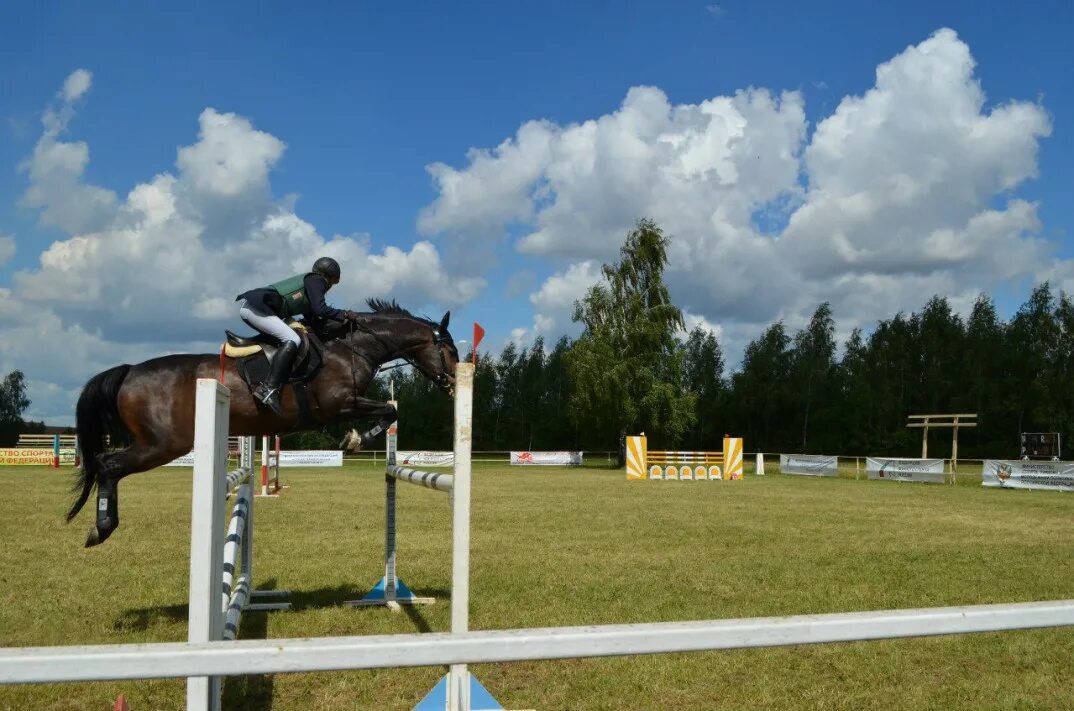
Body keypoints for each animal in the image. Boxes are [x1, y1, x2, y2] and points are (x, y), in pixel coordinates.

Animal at [68, 298, 457, 547]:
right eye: (450, 351)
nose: (456, 384)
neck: (350, 347)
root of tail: (129, 370)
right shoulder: (340, 405)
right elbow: (388, 411)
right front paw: (355, 440)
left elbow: (390, 411)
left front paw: (355, 439)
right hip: (161, 444)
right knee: (108, 465)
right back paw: (101, 528)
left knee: (106, 465)